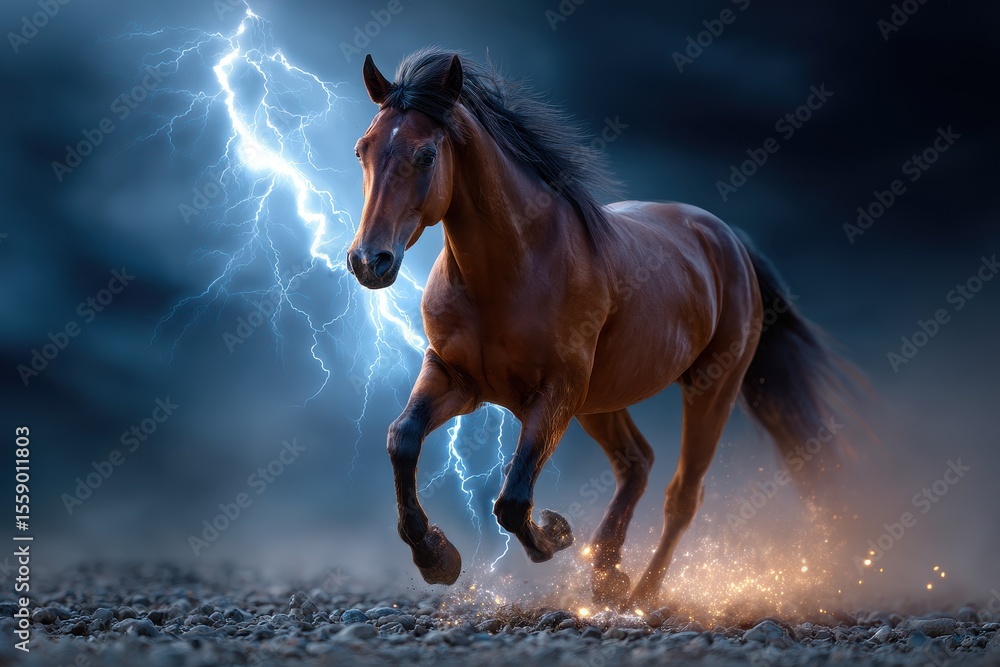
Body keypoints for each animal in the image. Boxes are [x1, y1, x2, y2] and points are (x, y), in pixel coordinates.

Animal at [346, 48, 858, 609]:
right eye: (362, 150)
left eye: (426, 155)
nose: (369, 261)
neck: (509, 270)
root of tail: (727, 239)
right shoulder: (455, 379)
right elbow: (403, 439)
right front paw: (436, 557)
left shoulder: (555, 394)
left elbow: (513, 497)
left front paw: (555, 533)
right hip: (604, 399)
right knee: (637, 462)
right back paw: (608, 575)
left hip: (710, 389)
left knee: (682, 494)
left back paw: (642, 594)